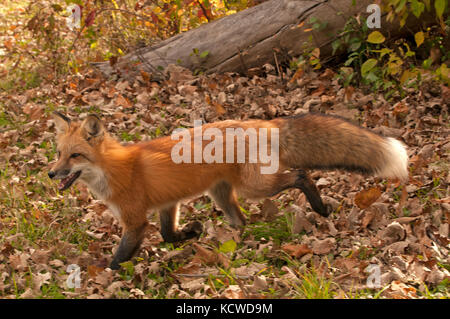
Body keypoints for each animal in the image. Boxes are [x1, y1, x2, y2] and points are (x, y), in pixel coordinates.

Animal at [48, 112, 408, 270]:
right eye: (58, 153)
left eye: (75, 156)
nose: (51, 173)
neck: (115, 170)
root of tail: (264, 123)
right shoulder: (168, 204)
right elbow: (168, 235)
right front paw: (192, 233)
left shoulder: (135, 221)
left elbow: (119, 257)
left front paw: (103, 274)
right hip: (222, 195)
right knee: (242, 222)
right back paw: (236, 245)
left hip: (255, 187)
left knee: (302, 175)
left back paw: (319, 207)